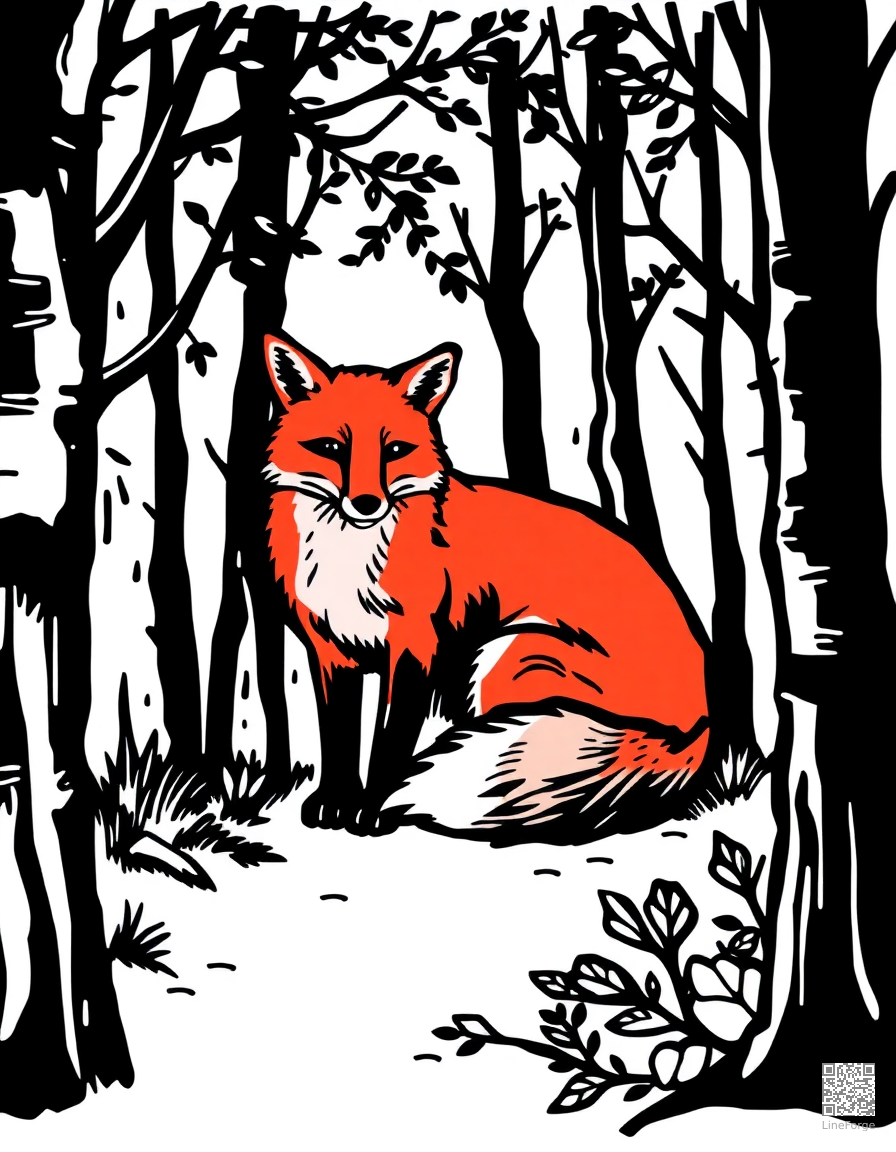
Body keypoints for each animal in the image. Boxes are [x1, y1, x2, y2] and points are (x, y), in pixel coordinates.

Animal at [263, 332, 710, 844]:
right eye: (330, 447)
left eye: (394, 450)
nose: (367, 503)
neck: (349, 559)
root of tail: (700, 720)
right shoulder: (331, 650)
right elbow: (337, 737)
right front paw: (334, 804)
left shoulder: (415, 647)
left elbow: (390, 742)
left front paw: (373, 810)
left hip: (503, 655)